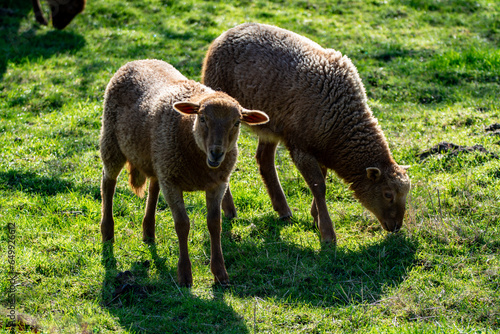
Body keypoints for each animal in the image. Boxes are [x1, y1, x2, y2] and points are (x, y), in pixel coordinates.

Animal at [100, 58, 270, 286]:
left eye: (237, 122)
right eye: (203, 118)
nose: (217, 153)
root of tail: (139, 60)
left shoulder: (217, 184)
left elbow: (214, 224)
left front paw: (220, 273)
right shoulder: (172, 183)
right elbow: (182, 224)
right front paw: (185, 275)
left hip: (157, 158)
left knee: (153, 187)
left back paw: (148, 232)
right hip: (112, 142)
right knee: (108, 184)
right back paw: (108, 232)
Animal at [201, 22, 412, 243]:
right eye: (388, 194)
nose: (396, 227)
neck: (341, 123)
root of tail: (229, 31)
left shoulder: (322, 148)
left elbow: (321, 181)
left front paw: (315, 217)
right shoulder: (301, 148)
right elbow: (319, 186)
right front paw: (327, 233)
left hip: (271, 125)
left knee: (264, 160)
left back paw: (283, 210)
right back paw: (229, 210)